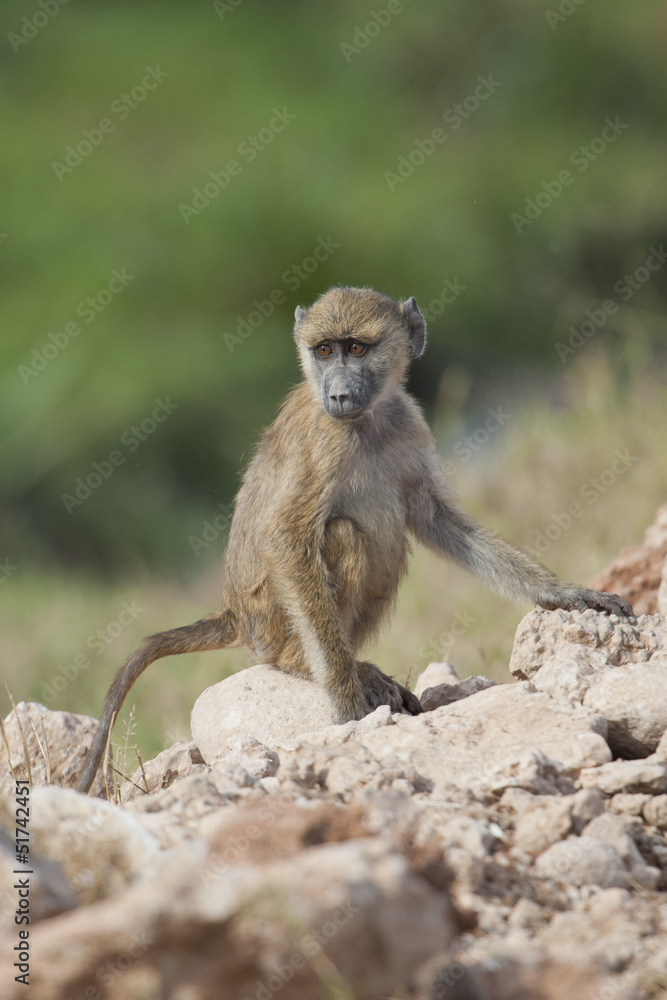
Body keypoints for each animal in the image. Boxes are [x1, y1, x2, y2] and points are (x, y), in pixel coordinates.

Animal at [77, 286, 633, 793]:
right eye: (325, 350)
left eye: (358, 348)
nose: (339, 394)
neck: (368, 420)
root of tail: (234, 611)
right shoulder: (324, 440)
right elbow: (286, 537)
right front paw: (345, 701)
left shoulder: (409, 422)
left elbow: (437, 520)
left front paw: (566, 594)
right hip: (271, 620)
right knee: (343, 535)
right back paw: (316, 667)